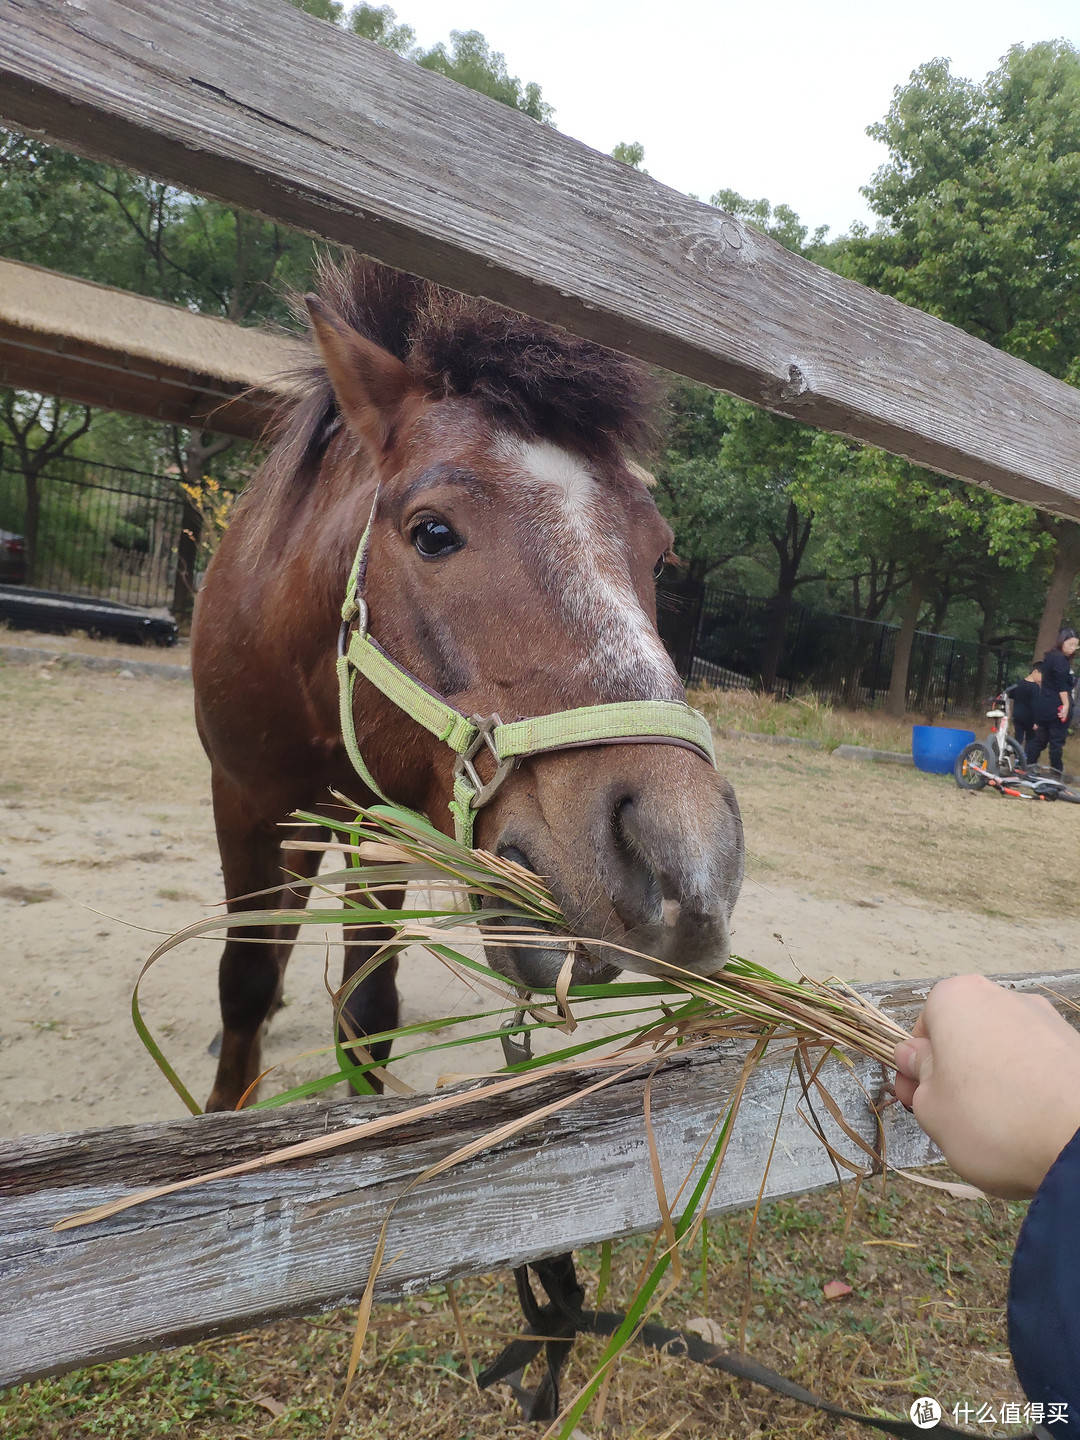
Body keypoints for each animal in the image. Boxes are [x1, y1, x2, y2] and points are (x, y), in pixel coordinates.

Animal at [190, 259, 743, 1111]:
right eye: (433, 533)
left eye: (659, 553)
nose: (685, 861)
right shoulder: (242, 799)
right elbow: (243, 979)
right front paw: (227, 1109)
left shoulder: (382, 828)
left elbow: (366, 1010)